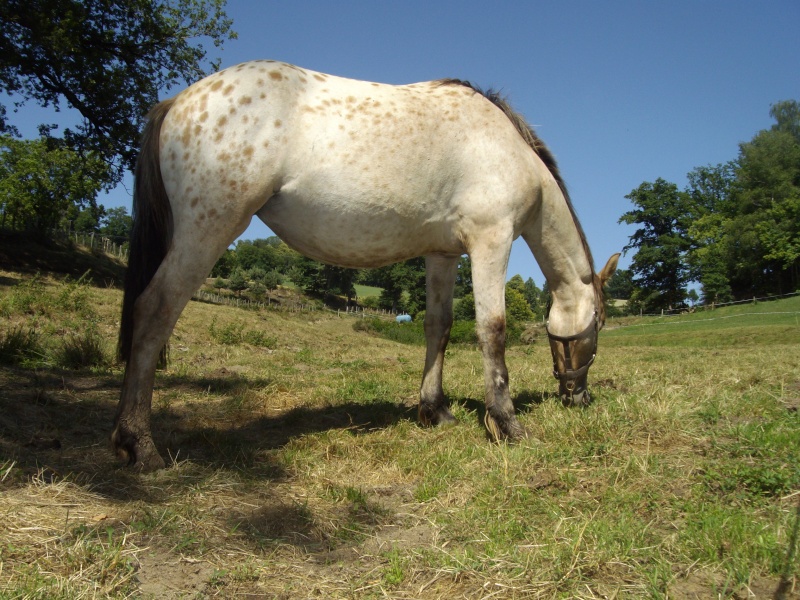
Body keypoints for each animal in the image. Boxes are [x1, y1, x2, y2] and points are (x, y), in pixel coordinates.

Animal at [112, 62, 620, 474]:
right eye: (597, 327)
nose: (578, 396)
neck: (510, 150)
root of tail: (176, 101)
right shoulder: (489, 239)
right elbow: (492, 330)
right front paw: (507, 424)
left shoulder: (443, 255)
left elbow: (439, 327)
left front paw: (435, 411)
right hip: (208, 229)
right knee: (155, 310)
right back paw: (140, 444)